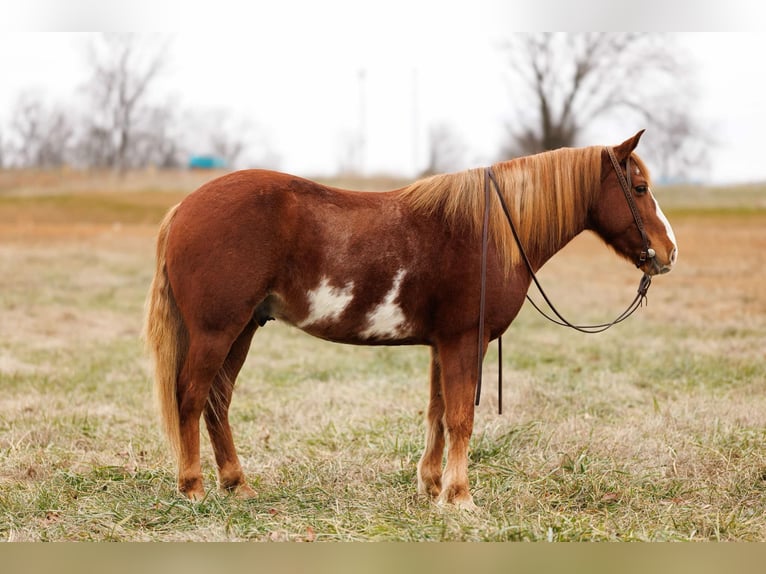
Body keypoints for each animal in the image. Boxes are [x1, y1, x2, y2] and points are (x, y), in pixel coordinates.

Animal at [144, 129, 680, 508]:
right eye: (639, 187)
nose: (669, 253)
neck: (489, 231)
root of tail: (183, 208)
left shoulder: (444, 344)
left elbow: (438, 413)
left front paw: (432, 485)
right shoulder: (465, 341)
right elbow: (461, 417)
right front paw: (460, 497)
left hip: (242, 331)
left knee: (217, 401)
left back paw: (236, 484)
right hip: (217, 331)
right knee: (191, 397)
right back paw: (192, 487)